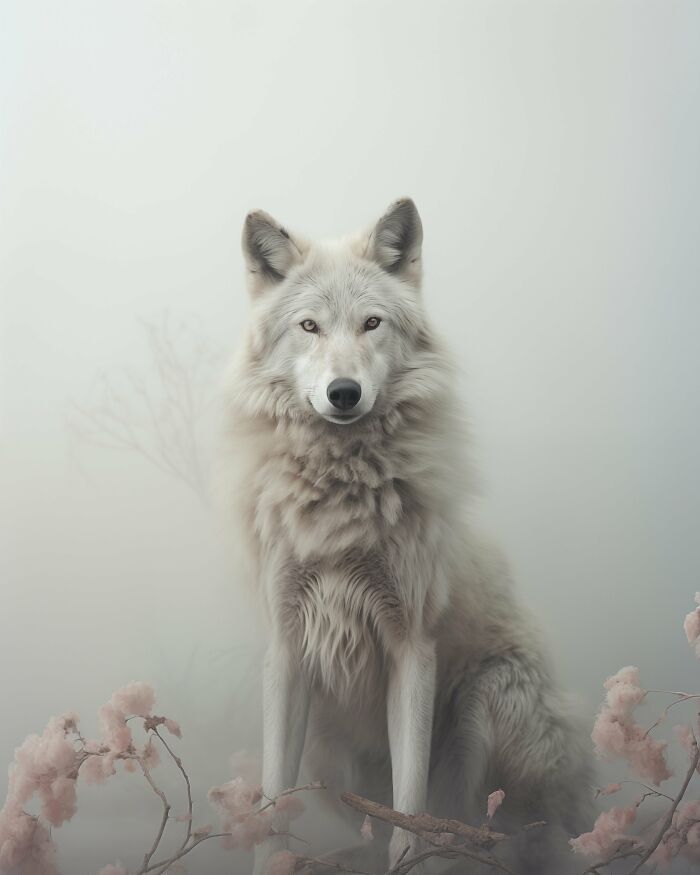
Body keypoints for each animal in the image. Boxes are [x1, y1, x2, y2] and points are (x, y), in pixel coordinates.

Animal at [222, 198, 593, 874]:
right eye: (310, 327)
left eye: (371, 323)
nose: (344, 393)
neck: (341, 508)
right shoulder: (286, 651)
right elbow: (272, 805)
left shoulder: (413, 647)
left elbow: (411, 806)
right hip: (327, 748)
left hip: (485, 703)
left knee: (483, 832)